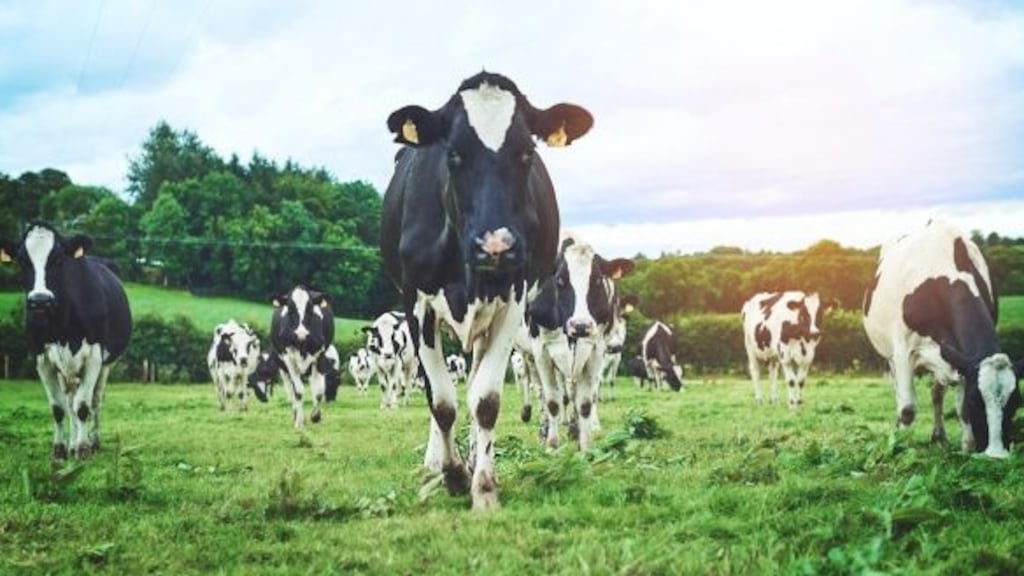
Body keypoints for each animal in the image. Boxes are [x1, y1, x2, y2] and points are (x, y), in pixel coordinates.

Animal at [1, 222, 131, 462]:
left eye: (58, 259)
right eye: (22, 260)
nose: (40, 300)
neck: (62, 326)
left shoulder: (94, 356)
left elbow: (83, 406)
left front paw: (83, 448)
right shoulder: (42, 359)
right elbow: (59, 408)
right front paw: (61, 449)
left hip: (106, 364)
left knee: (95, 401)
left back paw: (93, 441)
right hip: (66, 370)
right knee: (70, 400)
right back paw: (72, 443)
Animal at [258, 286, 335, 428]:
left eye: (310, 308)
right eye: (290, 309)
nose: (301, 333)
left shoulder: (319, 355)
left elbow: (319, 391)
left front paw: (315, 416)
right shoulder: (289, 359)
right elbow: (298, 391)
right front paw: (299, 422)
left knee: (312, 383)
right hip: (282, 366)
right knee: (290, 388)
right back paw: (296, 413)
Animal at [380, 70, 591, 510]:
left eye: (527, 153)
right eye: (453, 155)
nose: (496, 245)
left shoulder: (512, 300)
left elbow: (485, 400)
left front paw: (483, 485)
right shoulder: (417, 303)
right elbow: (440, 402)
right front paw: (452, 474)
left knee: (476, 380)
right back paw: (435, 461)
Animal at [527, 233, 635, 451]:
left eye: (597, 280)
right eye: (560, 280)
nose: (581, 325)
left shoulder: (596, 350)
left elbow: (585, 402)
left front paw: (585, 447)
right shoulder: (541, 350)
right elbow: (552, 402)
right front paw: (552, 446)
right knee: (550, 393)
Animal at [862, 218, 1023, 458]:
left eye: (1015, 402)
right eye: (976, 400)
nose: (996, 455)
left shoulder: (961, 357)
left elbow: (959, 408)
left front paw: (967, 447)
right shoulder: (903, 351)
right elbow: (907, 409)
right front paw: (901, 448)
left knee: (936, 393)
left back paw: (940, 437)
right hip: (889, 356)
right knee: (899, 394)